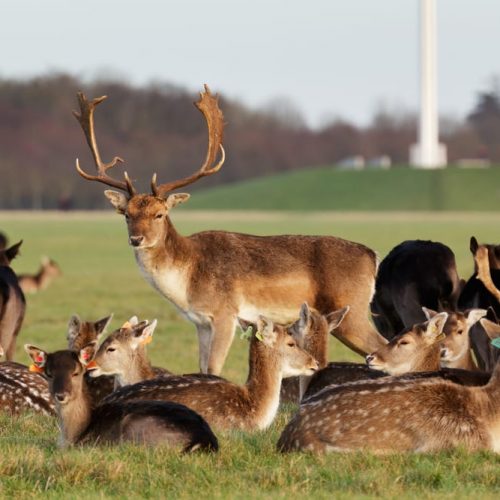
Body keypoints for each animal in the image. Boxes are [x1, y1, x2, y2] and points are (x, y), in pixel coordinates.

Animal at [72, 87, 386, 376]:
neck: (188, 279)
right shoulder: (199, 322)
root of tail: (372, 255)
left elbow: (213, 367)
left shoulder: (226, 313)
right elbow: (201, 367)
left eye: (160, 214)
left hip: (353, 310)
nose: (136, 239)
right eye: (127, 214)